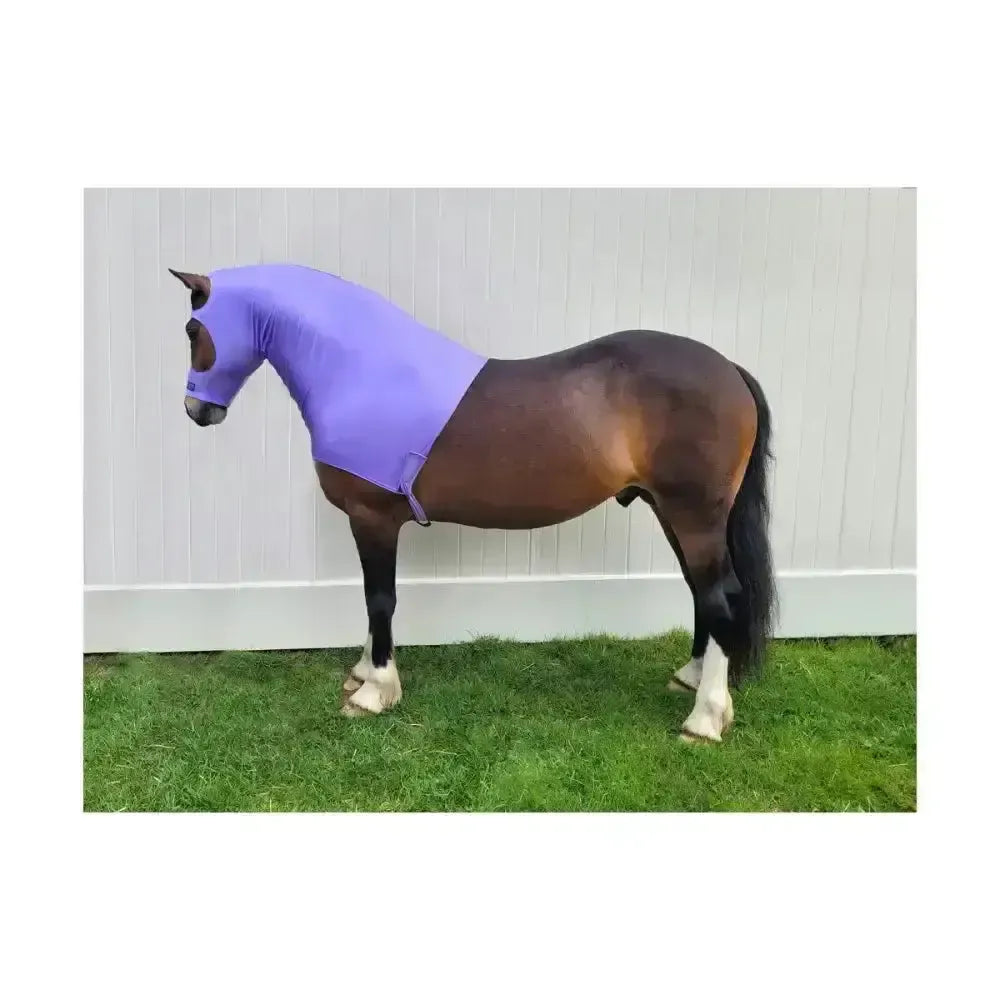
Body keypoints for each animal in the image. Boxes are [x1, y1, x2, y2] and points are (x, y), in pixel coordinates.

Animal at [170, 264, 775, 743]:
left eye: (193, 329)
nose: (197, 412)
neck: (363, 372)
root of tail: (729, 370)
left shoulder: (373, 520)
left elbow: (380, 600)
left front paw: (375, 691)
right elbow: (372, 601)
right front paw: (364, 672)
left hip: (693, 517)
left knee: (720, 599)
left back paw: (705, 719)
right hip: (671, 512)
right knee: (702, 594)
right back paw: (691, 678)